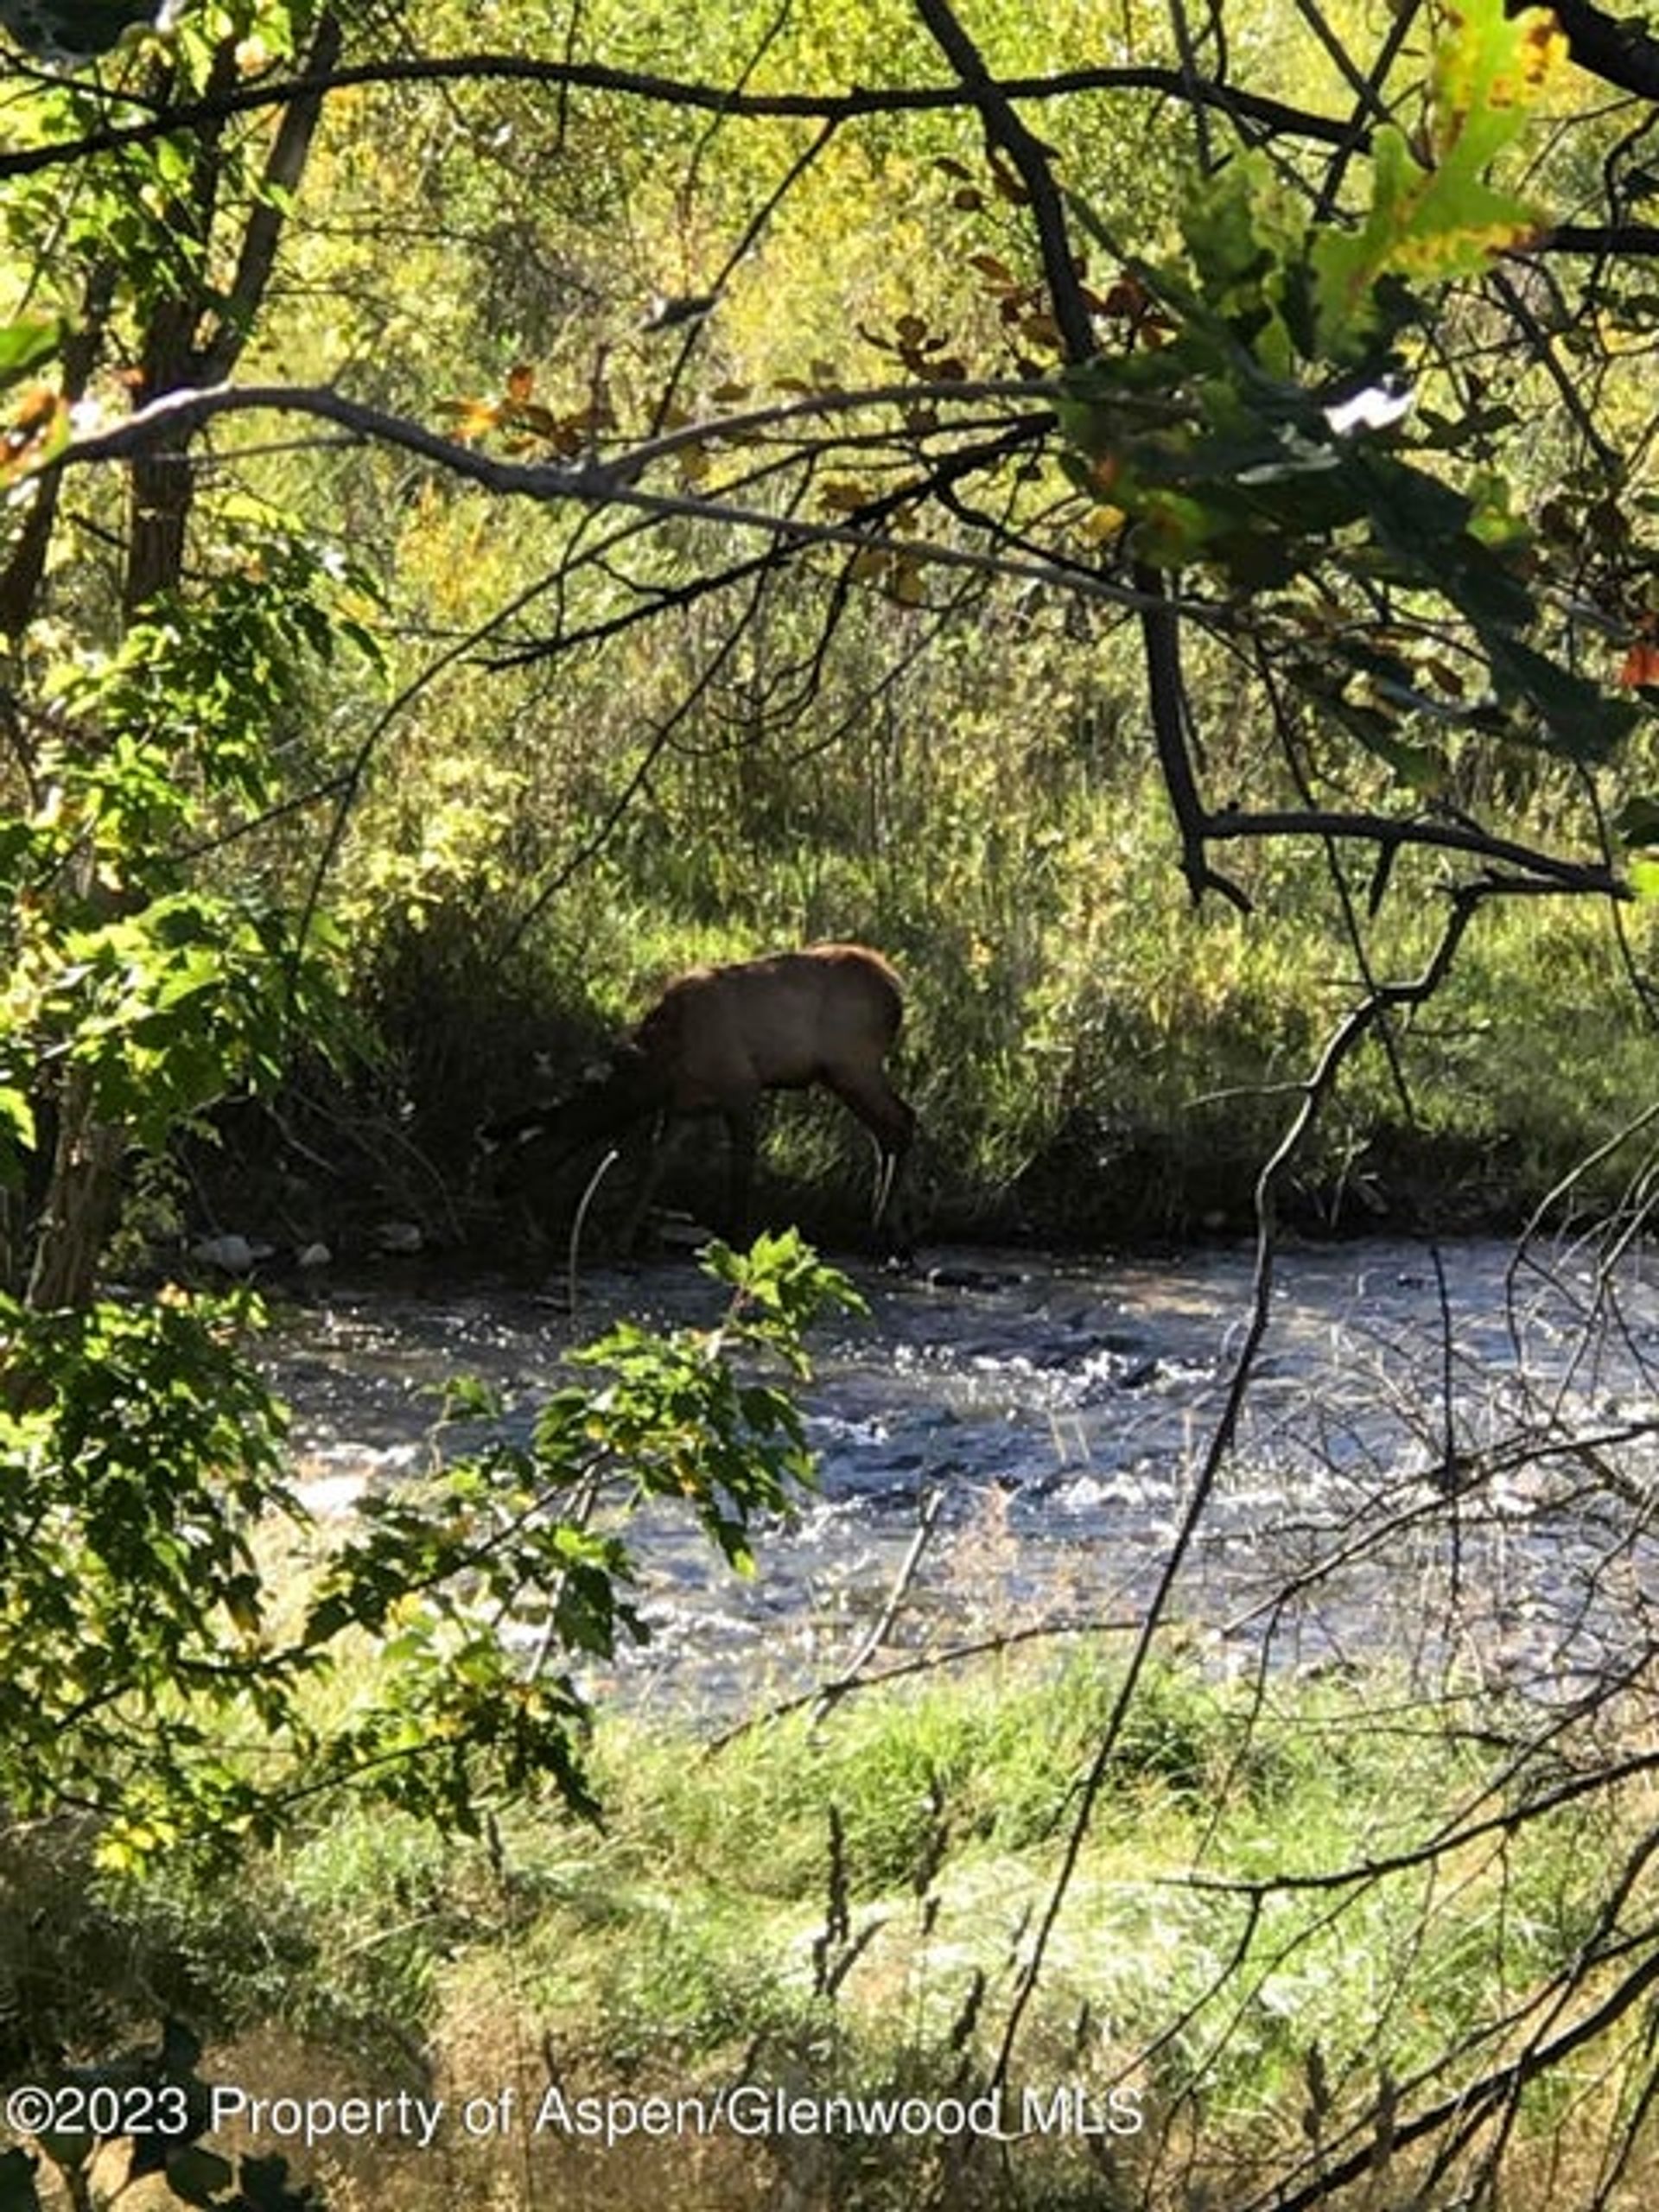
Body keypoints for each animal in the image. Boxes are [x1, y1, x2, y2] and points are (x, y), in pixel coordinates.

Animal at [486, 938, 915, 1247]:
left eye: (520, 1150)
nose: (498, 1187)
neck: (661, 1070)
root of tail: (895, 990)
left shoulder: (742, 1087)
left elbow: (741, 1165)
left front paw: (737, 1237)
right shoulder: (684, 1106)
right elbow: (655, 1165)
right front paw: (621, 1238)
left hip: (853, 1063)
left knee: (902, 1120)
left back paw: (891, 1228)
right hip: (845, 1072)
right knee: (887, 1129)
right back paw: (878, 1221)